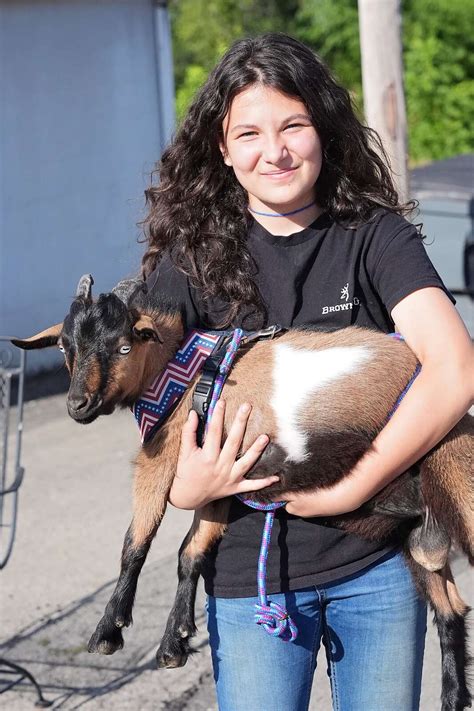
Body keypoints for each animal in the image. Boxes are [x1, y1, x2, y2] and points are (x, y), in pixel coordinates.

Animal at [12, 274, 472, 711]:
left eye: (124, 347)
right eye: (64, 347)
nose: (78, 405)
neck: (187, 371)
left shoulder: (164, 454)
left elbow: (136, 541)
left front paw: (108, 631)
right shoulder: (219, 475)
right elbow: (191, 550)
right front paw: (175, 641)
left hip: (457, 474)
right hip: (417, 537)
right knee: (450, 608)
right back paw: (453, 697)